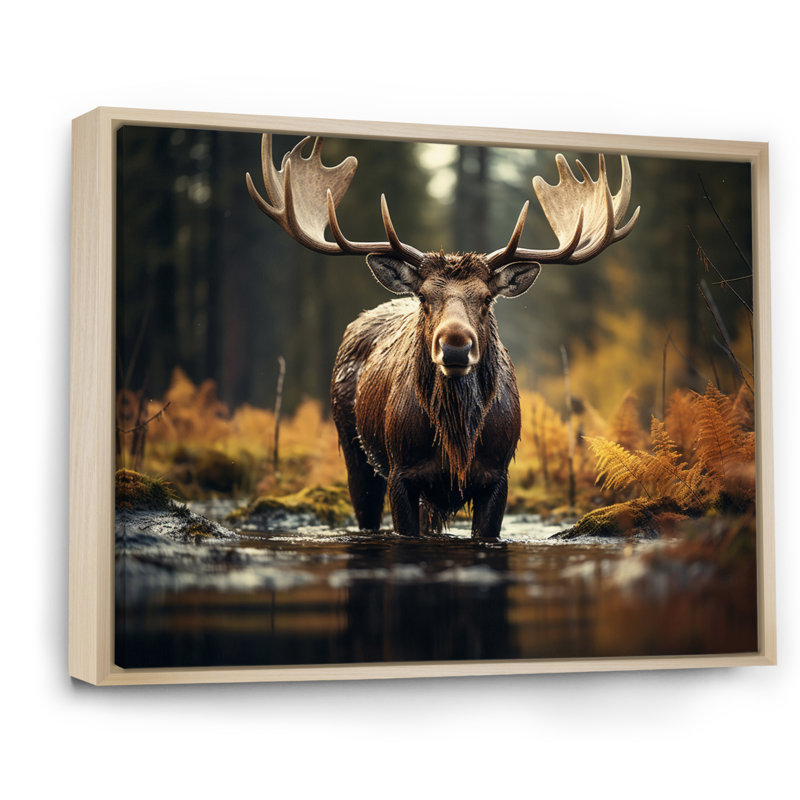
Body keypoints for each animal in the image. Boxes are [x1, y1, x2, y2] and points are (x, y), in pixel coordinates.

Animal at [246, 134, 639, 538]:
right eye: (423, 296)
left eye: (486, 298)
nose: (455, 346)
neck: (457, 445)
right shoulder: (401, 472)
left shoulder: (498, 475)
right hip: (353, 449)